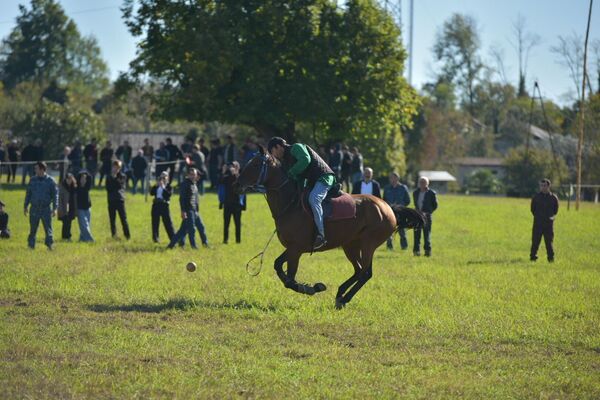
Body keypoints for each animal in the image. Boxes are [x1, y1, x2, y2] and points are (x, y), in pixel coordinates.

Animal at [237, 147, 424, 310]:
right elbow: (278, 266)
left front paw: (312, 288)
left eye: (255, 164)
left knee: (366, 273)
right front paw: (312, 287)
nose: (237, 183)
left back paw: (344, 298)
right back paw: (340, 294)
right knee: (359, 271)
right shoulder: (293, 248)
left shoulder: (296, 249)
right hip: (350, 245)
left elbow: (290, 279)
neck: (290, 203)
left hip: (368, 244)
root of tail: (388, 207)